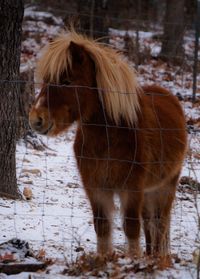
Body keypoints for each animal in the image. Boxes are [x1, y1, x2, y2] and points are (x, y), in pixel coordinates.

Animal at [28, 30, 187, 258]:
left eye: (66, 81)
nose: (36, 119)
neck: (109, 136)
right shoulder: (96, 188)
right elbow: (102, 226)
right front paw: (103, 260)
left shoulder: (131, 189)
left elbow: (131, 227)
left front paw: (133, 260)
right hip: (149, 191)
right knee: (150, 224)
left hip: (166, 186)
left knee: (160, 223)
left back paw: (157, 258)